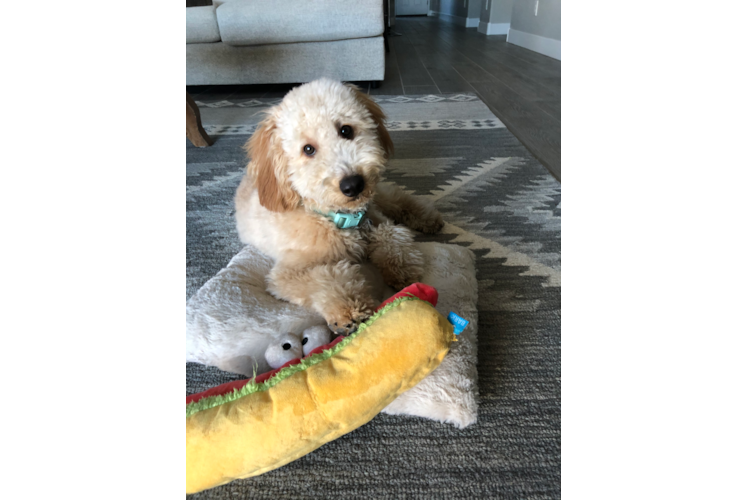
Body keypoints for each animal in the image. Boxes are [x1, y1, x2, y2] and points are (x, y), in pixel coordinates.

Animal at [234, 79, 444, 336]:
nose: (353, 185)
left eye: (346, 130)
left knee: (397, 197)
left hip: (379, 196)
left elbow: (392, 234)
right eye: (308, 149)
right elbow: (327, 276)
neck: (337, 217)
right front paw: (348, 311)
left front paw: (401, 268)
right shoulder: (288, 273)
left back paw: (428, 218)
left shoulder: (375, 219)